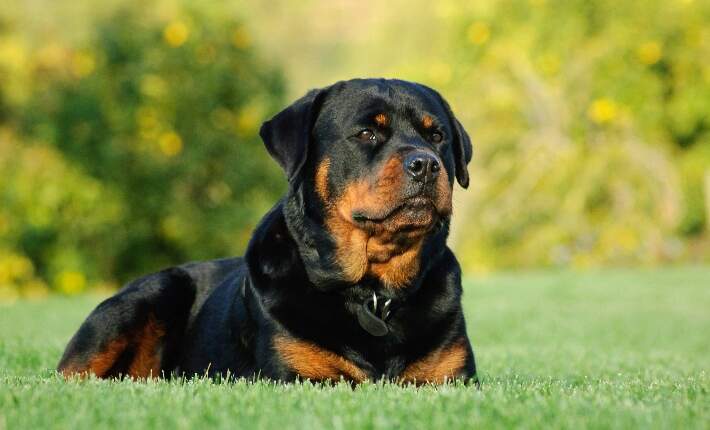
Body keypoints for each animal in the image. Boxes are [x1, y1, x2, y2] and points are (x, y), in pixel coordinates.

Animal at [57, 79, 478, 384]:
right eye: (366, 134)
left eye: (437, 136)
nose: (425, 164)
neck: (373, 294)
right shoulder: (297, 375)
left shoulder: (451, 379)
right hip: (149, 294)